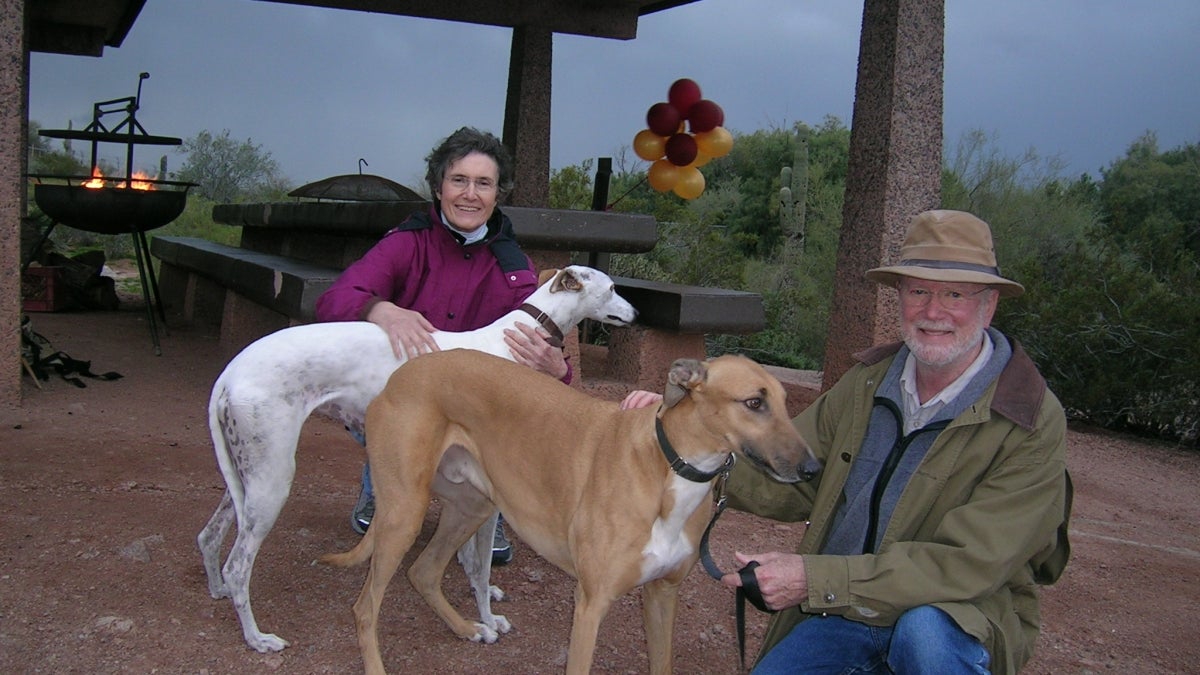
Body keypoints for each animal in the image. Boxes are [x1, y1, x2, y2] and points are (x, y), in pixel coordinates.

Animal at [199, 264, 638, 653]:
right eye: (613, 288)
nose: (636, 315)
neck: (513, 337)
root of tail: (229, 374)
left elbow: (468, 560)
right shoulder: (491, 496)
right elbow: (479, 568)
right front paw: (487, 619)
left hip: (249, 474)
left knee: (209, 535)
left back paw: (217, 589)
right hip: (273, 478)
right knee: (238, 566)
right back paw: (257, 638)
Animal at [324, 348, 820, 667]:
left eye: (782, 401)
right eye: (753, 402)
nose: (814, 468)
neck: (668, 466)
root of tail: (400, 374)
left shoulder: (662, 595)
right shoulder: (590, 604)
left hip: (474, 505)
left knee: (423, 571)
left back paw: (469, 628)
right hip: (404, 512)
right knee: (365, 609)